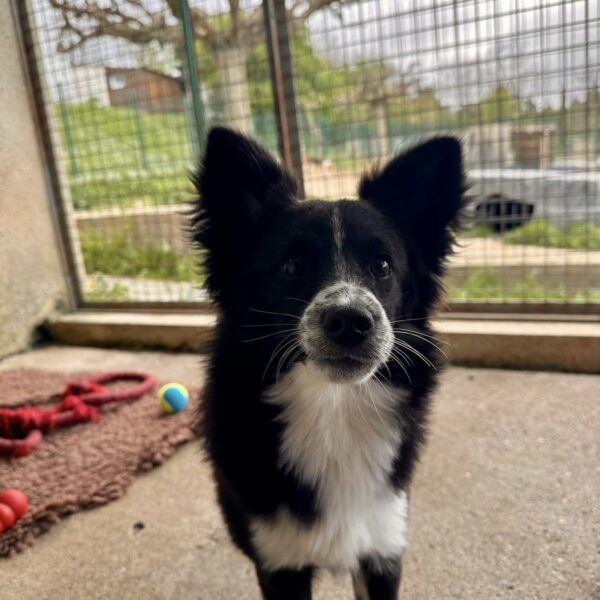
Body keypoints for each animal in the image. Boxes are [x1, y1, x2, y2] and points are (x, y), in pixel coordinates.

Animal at [191, 127, 465, 600]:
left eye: (383, 265)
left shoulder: (381, 547)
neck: (333, 409)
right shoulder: (280, 565)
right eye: (292, 265)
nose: (351, 321)